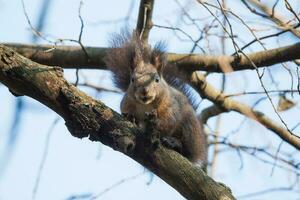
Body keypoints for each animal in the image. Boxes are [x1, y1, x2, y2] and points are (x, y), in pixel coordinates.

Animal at [105, 30, 206, 167]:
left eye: (157, 79)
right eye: (132, 79)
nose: (144, 91)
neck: (146, 105)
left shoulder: (170, 106)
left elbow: (169, 121)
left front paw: (156, 123)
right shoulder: (126, 103)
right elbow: (125, 112)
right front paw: (130, 117)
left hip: (190, 128)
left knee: (187, 151)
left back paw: (174, 143)